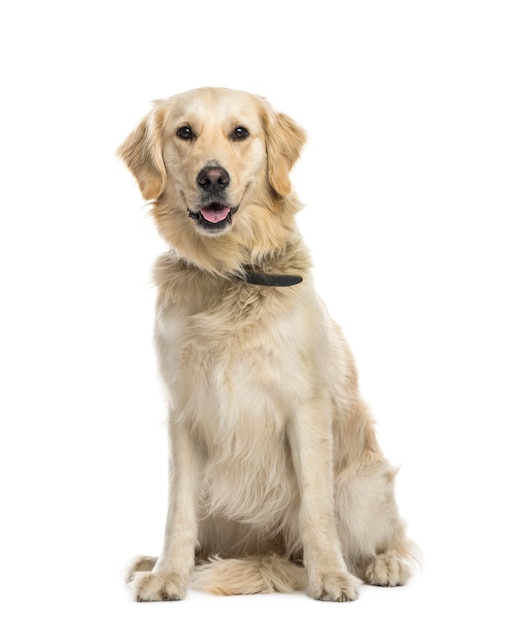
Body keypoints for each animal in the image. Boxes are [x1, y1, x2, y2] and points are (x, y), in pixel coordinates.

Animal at [119, 85, 418, 596]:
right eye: (185, 132)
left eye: (240, 133)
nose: (213, 177)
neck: (230, 272)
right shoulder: (185, 409)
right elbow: (177, 511)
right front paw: (169, 575)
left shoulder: (306, 406)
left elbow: (316, 507)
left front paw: (330, 574)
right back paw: (153, 561)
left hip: (360, 486)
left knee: (387, 533)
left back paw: (384, 565)